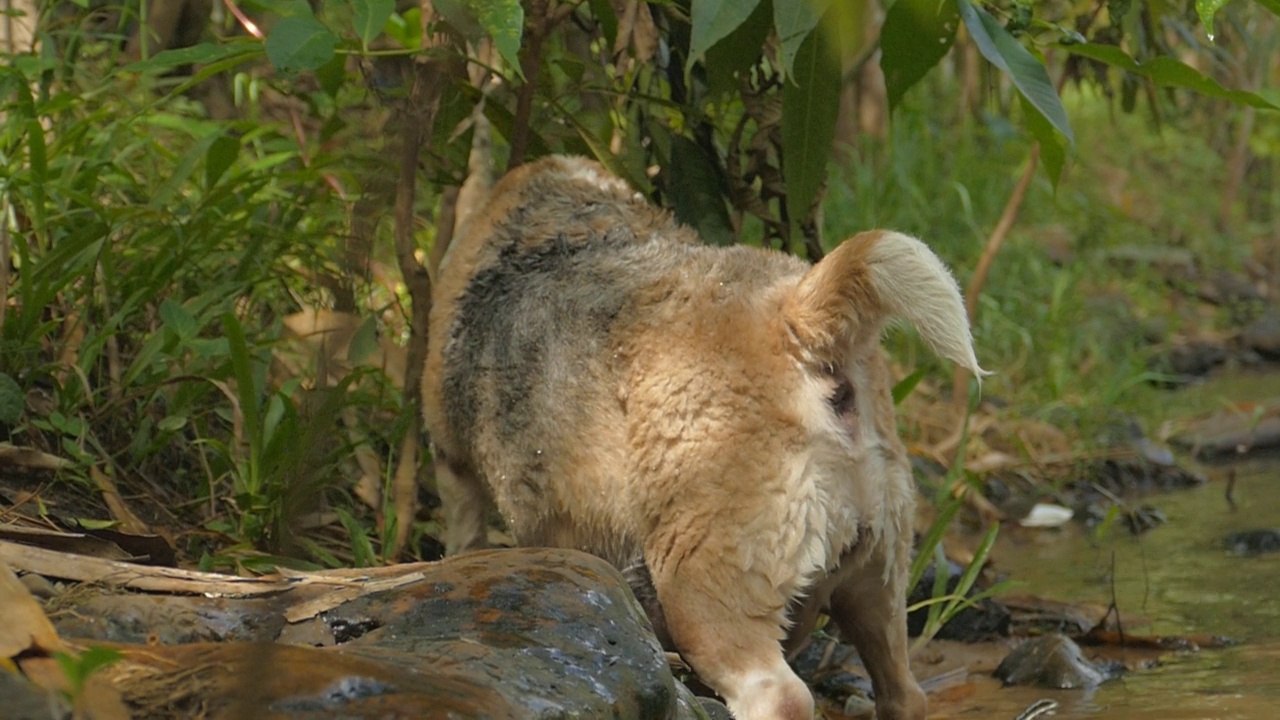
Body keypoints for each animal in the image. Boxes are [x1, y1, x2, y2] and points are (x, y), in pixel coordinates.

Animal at [424, 155, 983, 717]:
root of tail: (794, 318)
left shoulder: (454, 468)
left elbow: (464, 531)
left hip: (705, 589)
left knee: (779, 695)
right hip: (879, 583)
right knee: (904, 692)